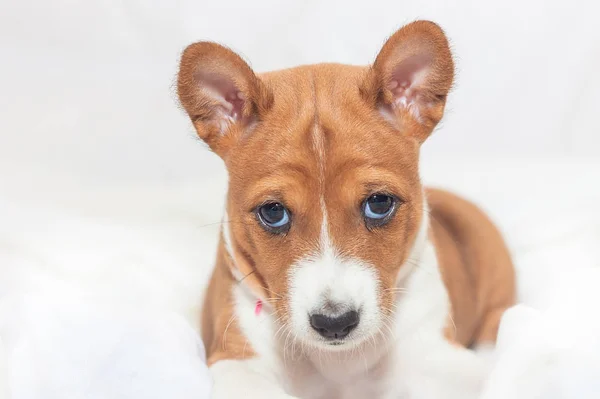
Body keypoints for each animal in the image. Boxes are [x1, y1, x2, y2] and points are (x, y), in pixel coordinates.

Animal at [177, 21, 516, 399]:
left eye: (379, 203)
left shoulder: (444, 365)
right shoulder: (238, 362)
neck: (339, 363)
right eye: (273, 212)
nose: (334, 323)